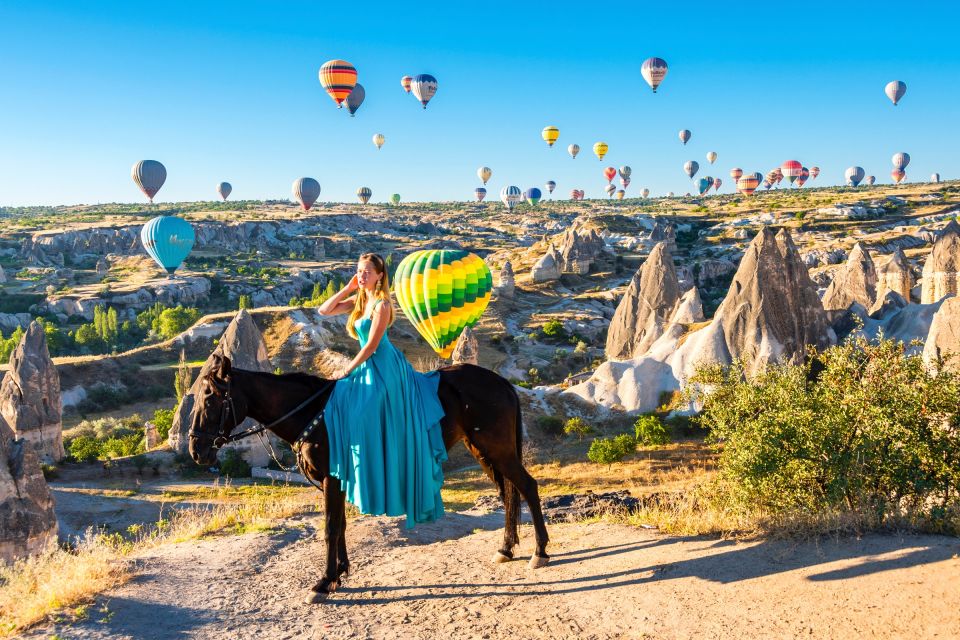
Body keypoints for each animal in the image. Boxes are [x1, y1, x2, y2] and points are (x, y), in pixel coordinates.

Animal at [188, 352, 548, 604]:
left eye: (210, 397)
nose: (196, 449)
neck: (314, 412)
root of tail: (501, 383)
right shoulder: (339, 481)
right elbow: (342, 525)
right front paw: (340, 573)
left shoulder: (332, 479)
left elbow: (330, 528)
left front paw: (323, 582)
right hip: (484, 450)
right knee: (510, 492)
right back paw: (506, 548)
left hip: (497, 449)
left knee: (527, 487)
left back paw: (540, 551)